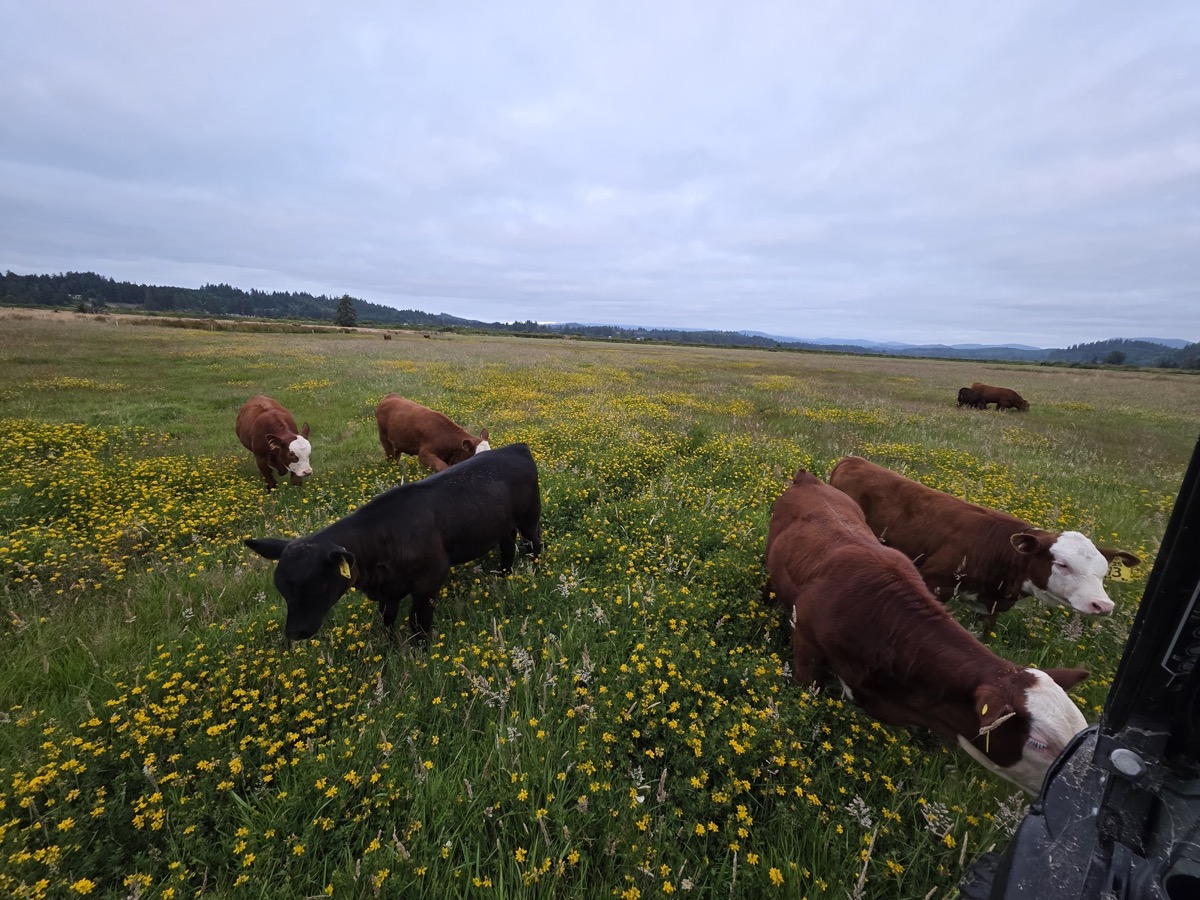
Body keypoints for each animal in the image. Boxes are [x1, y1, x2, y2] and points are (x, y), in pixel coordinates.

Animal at [245, 443, 542, 642]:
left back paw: (535, 573)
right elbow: (387, 619)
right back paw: (504, 574)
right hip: (503, 525)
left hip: (529, 518)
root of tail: (515, 448)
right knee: (507, 547)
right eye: (282, 589)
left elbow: (419, 622)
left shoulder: (430, 579)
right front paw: (387, 646)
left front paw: (420, 653)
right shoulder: (388, 590)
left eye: (317, 585)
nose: (294, 633)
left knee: (534, 545)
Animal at [827, 456, 1141, 628]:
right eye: (1062, 564)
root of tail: (852, 460)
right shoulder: (934, 582)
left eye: (1103, 572)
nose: (1103, 605)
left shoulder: (992, 610)